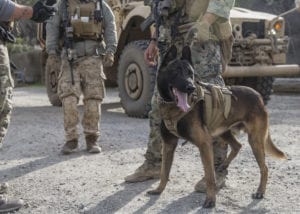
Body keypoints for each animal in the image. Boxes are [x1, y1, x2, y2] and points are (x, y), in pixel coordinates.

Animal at [147, 46, 286, 208]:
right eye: (175, 72)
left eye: (190, 73)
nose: (191, 87)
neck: (172, 107)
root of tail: (259, 96)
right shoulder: (168, 144)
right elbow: (164, 171)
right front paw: (159, 189)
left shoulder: (204, 144)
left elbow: (209, 177)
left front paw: (211, 200)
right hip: (223, 132)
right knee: (237, 145)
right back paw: (223, 165)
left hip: (255, 140)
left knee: (264, 168)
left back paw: (260, 191)